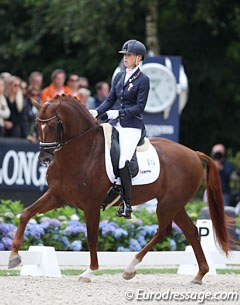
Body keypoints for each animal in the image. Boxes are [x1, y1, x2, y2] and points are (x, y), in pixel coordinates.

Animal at [8, 94, 229, 282]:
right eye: (37, 125)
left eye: (54, 125)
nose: (45, 159)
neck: (81, 151)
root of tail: (193, 153)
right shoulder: (57, 196)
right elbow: (25, 214)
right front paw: (14, 257)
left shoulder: (91, 205)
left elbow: (92, 238)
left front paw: (89, 272)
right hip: (175, 204)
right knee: (190, 231)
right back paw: (199, 274)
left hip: (168, 204)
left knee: (163, 231)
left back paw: (130, 268)